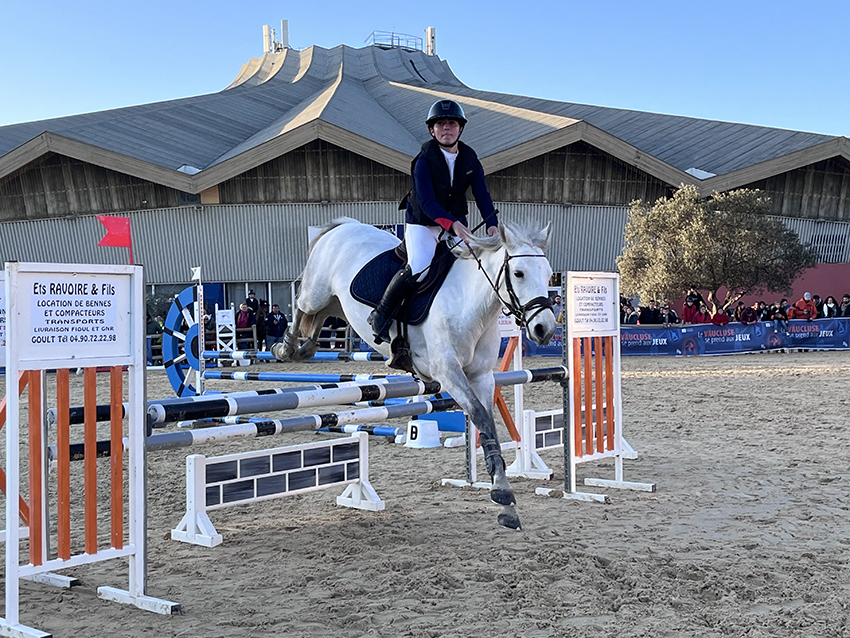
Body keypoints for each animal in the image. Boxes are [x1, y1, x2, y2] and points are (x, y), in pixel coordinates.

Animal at [274, 220, 556, 528]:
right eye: (518, 273)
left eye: (549, 274)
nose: (544, 329)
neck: (469, 303)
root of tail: (347, 224)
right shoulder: (448, 372)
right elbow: (480, 415)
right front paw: (503, 494)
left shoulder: (481, 376)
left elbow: (488, 423)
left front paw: (504, 498)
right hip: (317, 292)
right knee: (301, 306)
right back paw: (285, 347)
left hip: (336, 303)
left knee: (320, 319)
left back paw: (305, 349)